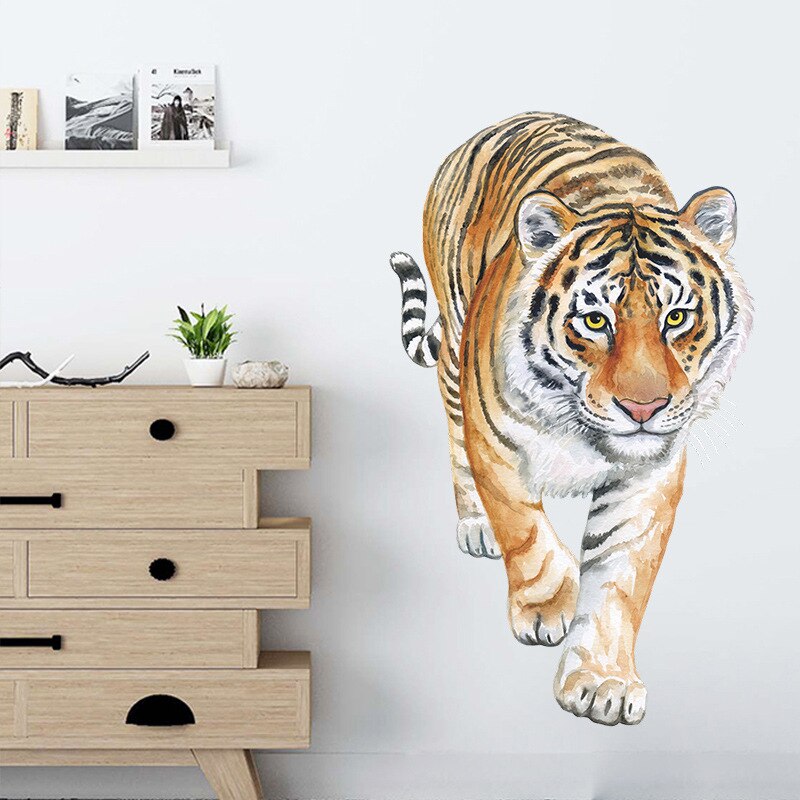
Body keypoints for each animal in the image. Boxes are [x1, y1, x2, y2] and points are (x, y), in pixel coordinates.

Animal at [390, 112, 752, 725]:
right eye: (595, 320)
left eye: (677, 318)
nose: (643, 407)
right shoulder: (495, 443)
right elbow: (525, 531)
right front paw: (546, 607)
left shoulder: (648, 474)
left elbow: (619, 577)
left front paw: (603, 681)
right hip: (456, 352)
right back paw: (476, 526)